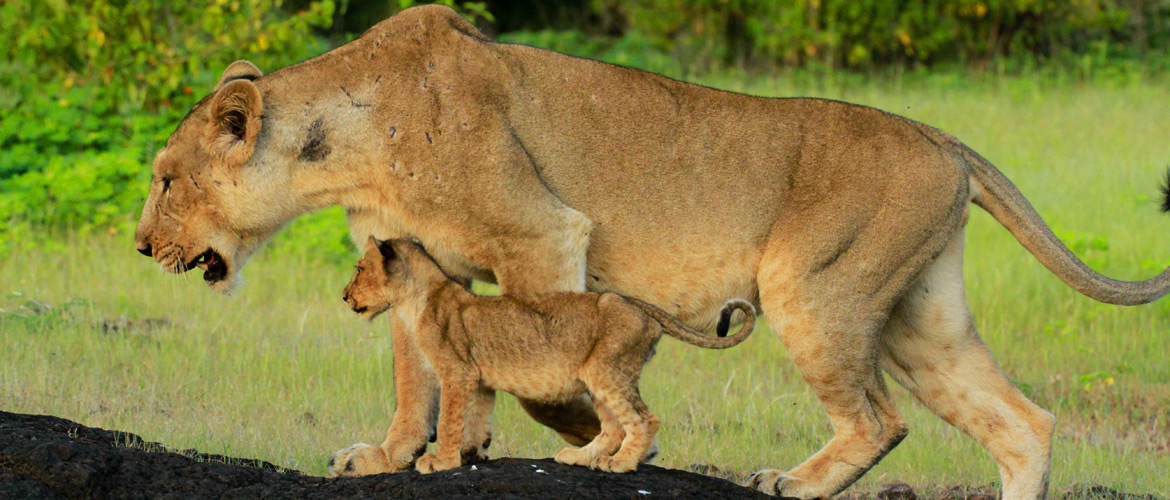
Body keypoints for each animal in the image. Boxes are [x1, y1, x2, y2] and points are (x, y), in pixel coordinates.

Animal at [327, 236, 755, 476]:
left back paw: (620, 464)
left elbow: (449, 420)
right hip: (598, 376)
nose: (344, 296)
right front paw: (470, 454)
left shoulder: (457, 373)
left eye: (360, 268)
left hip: (608, 371)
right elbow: (475, 420)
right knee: (613, 427)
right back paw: (580, 458)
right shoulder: (478, 379)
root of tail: (639, 304)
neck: (416, 300)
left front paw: (441, 461)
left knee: (644, 419)